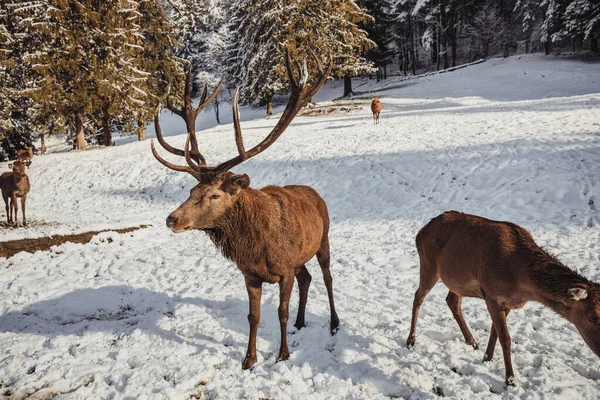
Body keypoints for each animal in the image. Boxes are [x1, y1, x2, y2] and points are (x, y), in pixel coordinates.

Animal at [151, 51, 338, 370]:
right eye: (191, 191)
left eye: (214, 194)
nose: (172, 219)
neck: (256, 247)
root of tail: (315, 193)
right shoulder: (250, 274)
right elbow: (254, 316)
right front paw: (249, 359)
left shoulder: (284, 271)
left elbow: (281, 312)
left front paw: (282, 354)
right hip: (299, 258)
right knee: (307, 278)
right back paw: (301, 322)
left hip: (323, 239)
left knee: (326, 277)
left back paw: (335, 323)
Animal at [406, 211, 600, 386]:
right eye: (593, 316)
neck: (520, 281)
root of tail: (421, 231)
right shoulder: (492, 296)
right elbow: (505, 338)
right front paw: (510, 380)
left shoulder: (507, 303)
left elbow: (495, 332)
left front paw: (487, 358)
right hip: (428, 265)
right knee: (418, 296)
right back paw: (411, 340)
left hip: (456, 281)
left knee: (452, 301)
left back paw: (472, 341)